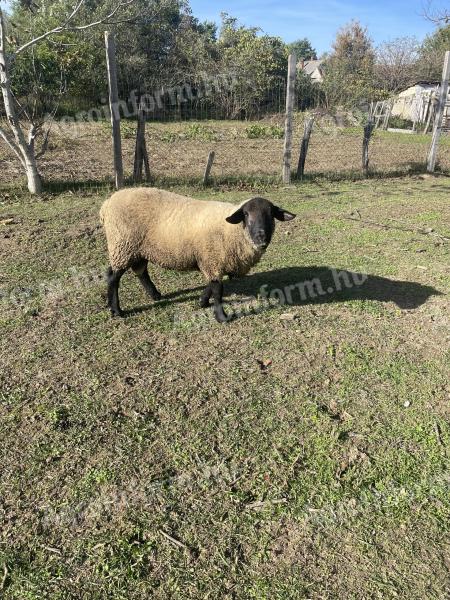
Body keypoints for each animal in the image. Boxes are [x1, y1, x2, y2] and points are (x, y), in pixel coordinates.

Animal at [99, 189, 296, 324]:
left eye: (271, 215)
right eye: (246, 214)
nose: (261, 237)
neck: (232, 230)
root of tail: (107, 203)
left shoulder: (212, 261)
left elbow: (211, 284)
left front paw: (202, 301)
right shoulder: (213, 259)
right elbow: (217, 289)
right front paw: (221, 317)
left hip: (137, 248)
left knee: (141, 271)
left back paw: (155, 295)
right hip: (122, 246)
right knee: (113, 277)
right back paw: (116, 310)